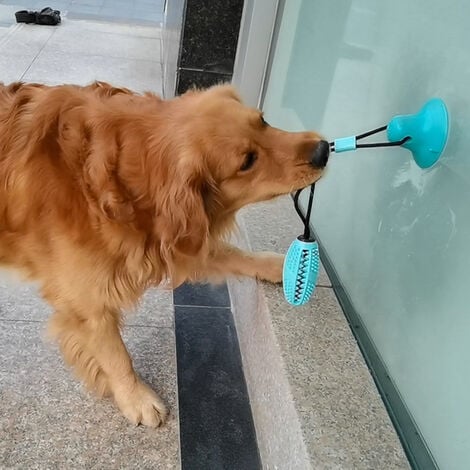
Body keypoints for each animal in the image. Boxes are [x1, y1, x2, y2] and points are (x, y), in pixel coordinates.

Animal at [0, 81, 330, 426]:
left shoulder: (178, 236)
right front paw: (136, 398)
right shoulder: (89, 303)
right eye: (247, 161)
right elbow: (116, 356)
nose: (322, 150)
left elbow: (232, 254)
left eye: (263, 121)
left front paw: (279, 266)